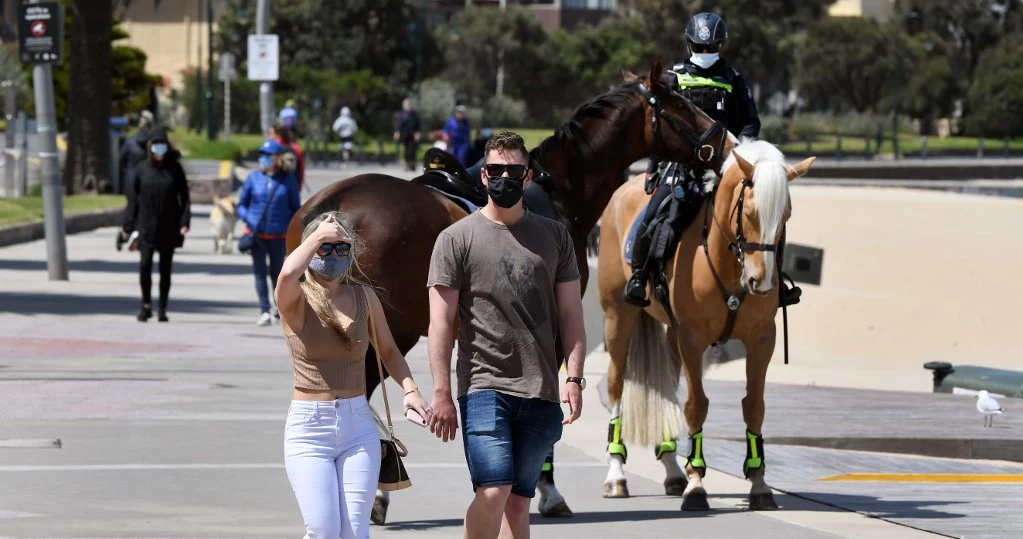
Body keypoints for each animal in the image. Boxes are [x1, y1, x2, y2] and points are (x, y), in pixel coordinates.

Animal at [286, 59, 736, 523]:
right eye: (679, 105)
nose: (726, 141)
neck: (560, 192)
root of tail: (333, 202)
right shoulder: (552, 331)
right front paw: (547, 489)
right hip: (390, 330)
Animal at [597, 139, 810, 511]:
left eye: (785, 216)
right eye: (750, 213)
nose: (761, 282)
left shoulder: (762, 339)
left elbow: (754, 406)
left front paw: (759, 483)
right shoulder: (692, 339)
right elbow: (696, 406)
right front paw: (696, 484)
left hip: (669, 333)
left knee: (665, 389)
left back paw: (671, 470)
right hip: (618, 317)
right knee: (616, 386)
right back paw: (616, 476)